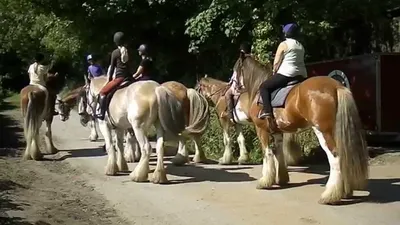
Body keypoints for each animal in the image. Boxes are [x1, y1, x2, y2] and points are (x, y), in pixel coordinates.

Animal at [79, 78, 208, 183]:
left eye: (84, 96)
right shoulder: (119, 127)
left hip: (139, 127)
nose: (83, 116)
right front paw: (122, 165)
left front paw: (112, 169)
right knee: (161, 146)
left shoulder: (104, 125)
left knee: (147, 147)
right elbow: (119, 146)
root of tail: (156, 88)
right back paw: (159, 176)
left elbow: (111, 146)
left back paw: (138, 175)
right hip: (160, 125)